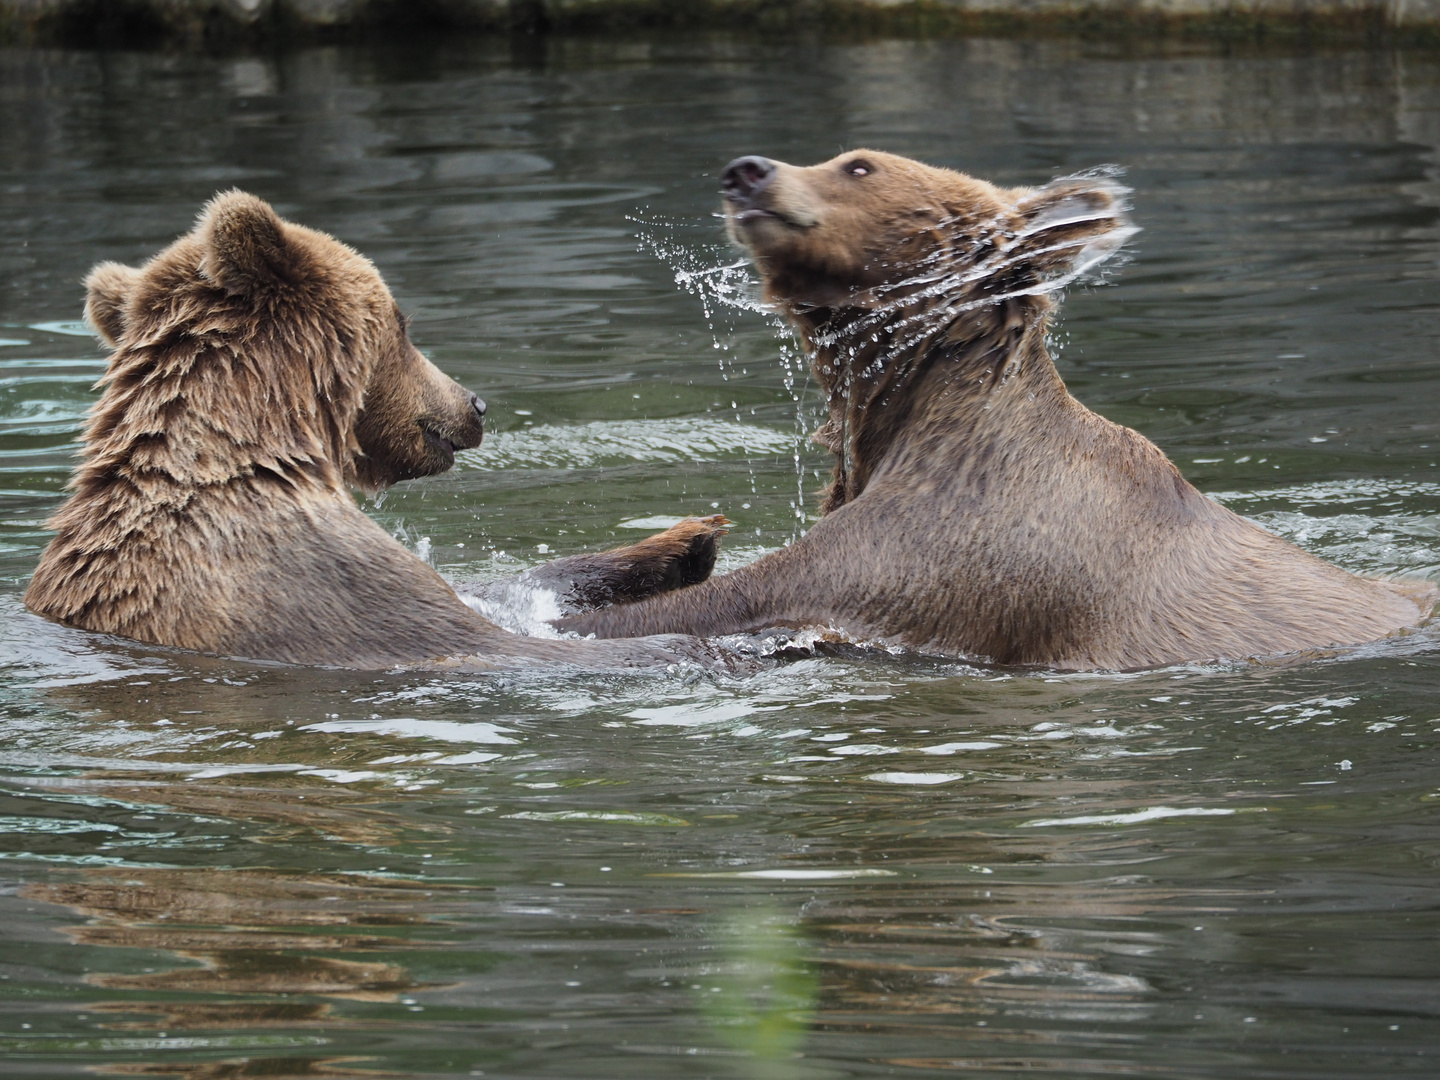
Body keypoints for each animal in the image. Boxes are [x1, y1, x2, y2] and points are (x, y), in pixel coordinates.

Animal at [26, 190, 731, 673]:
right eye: (404, 323)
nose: (475, 405)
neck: (267, 449)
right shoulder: (318, 586)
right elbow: (504, 640)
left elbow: (495, 591)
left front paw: (687, 539)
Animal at [555, 148, 1434, 673]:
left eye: (859, 165)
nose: (747, 170)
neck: (918, 408)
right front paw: (679, 545)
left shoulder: (951, 548)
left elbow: (757, 595)